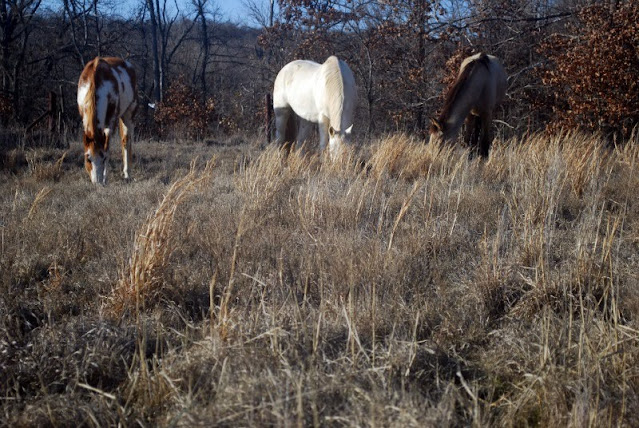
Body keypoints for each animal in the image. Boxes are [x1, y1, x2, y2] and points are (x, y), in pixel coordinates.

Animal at [77, 56, 138, 184]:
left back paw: (127, 174)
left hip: (128, 114)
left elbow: (108, 148)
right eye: (88, 159)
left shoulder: (110, 122)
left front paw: (105, 178)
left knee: (126, 140)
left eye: (104, 159)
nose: (97, 183)